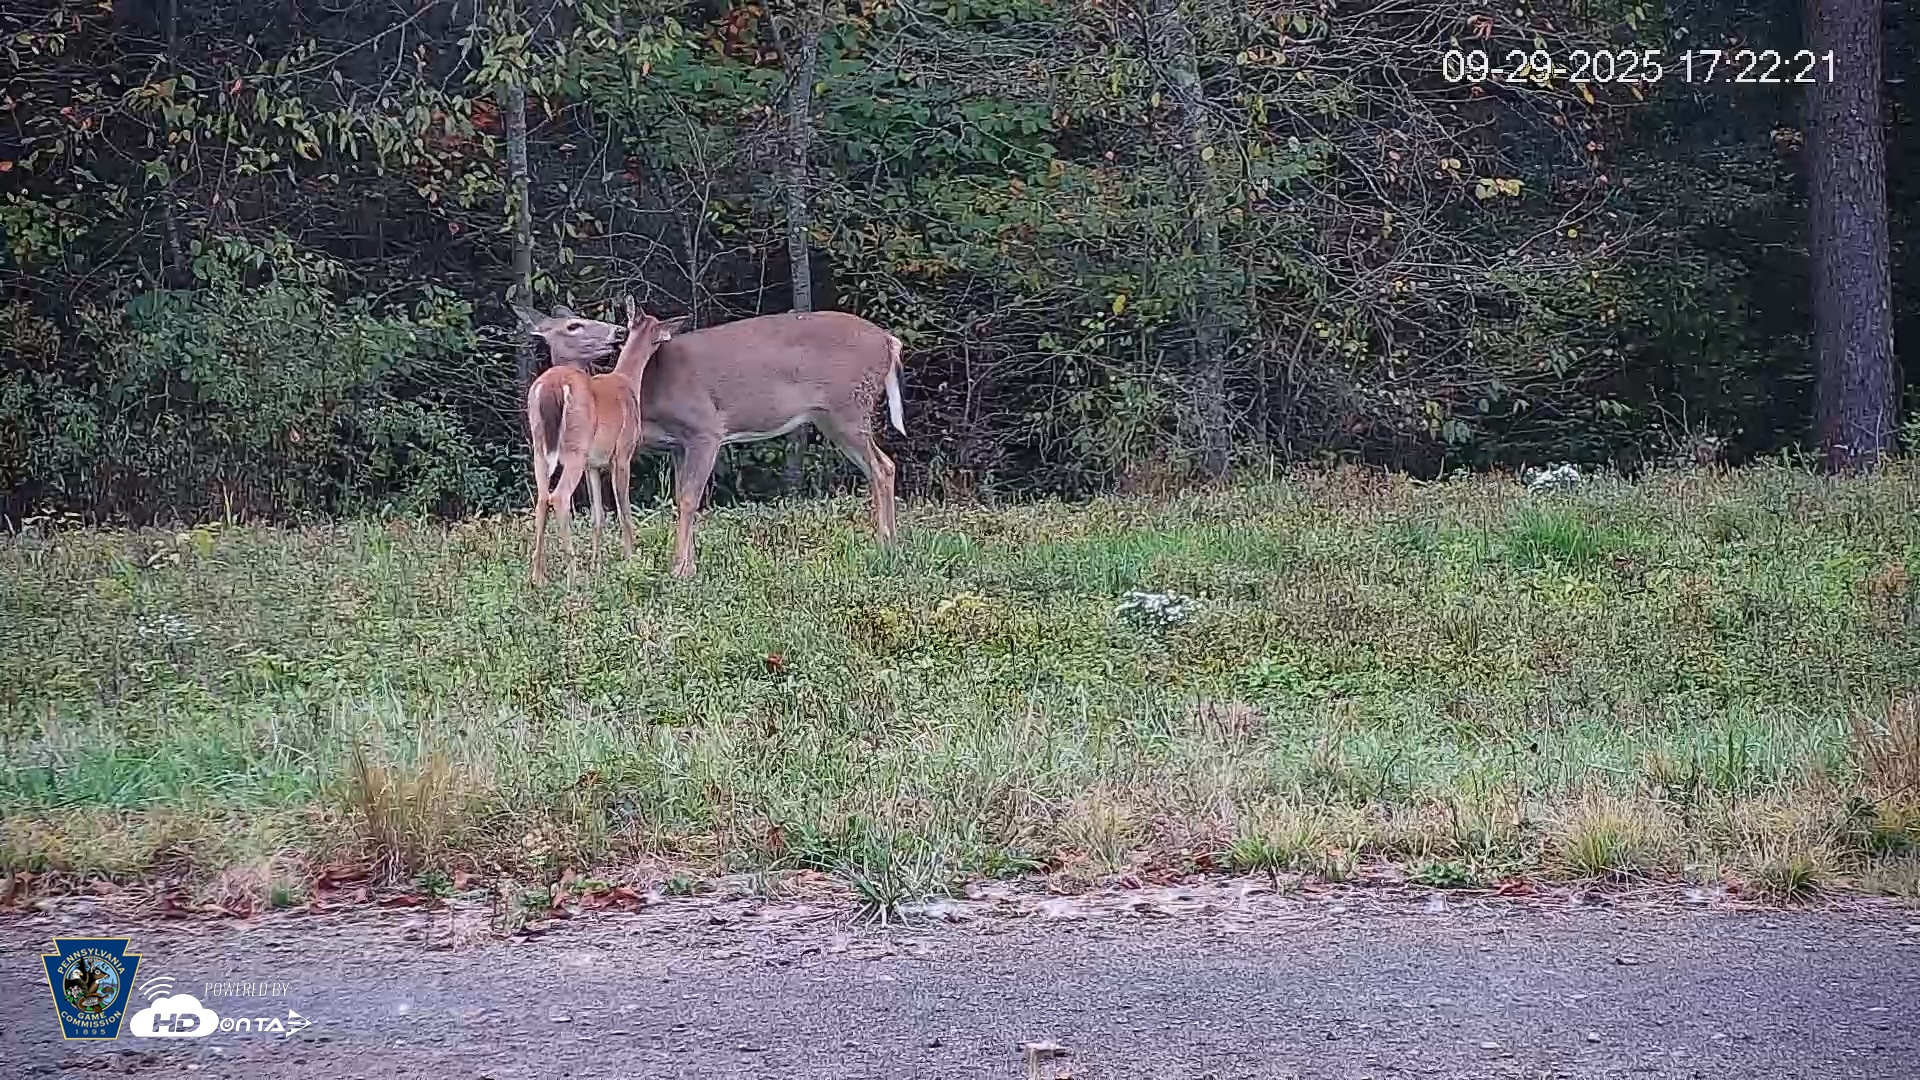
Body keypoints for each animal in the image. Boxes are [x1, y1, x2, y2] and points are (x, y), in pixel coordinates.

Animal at [516, 297, 687, 586]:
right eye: (574, 325)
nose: (618, 332)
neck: (627, 380)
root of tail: (552, 387)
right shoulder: (623, 454)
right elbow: (624, 511)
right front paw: (630, 561)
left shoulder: (593, 464)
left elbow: (599, 515)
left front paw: (597, 568)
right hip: (575, 448)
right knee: (559, 497)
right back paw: (573, 576)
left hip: (540, 448)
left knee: (541, 498)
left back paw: (537, 576)